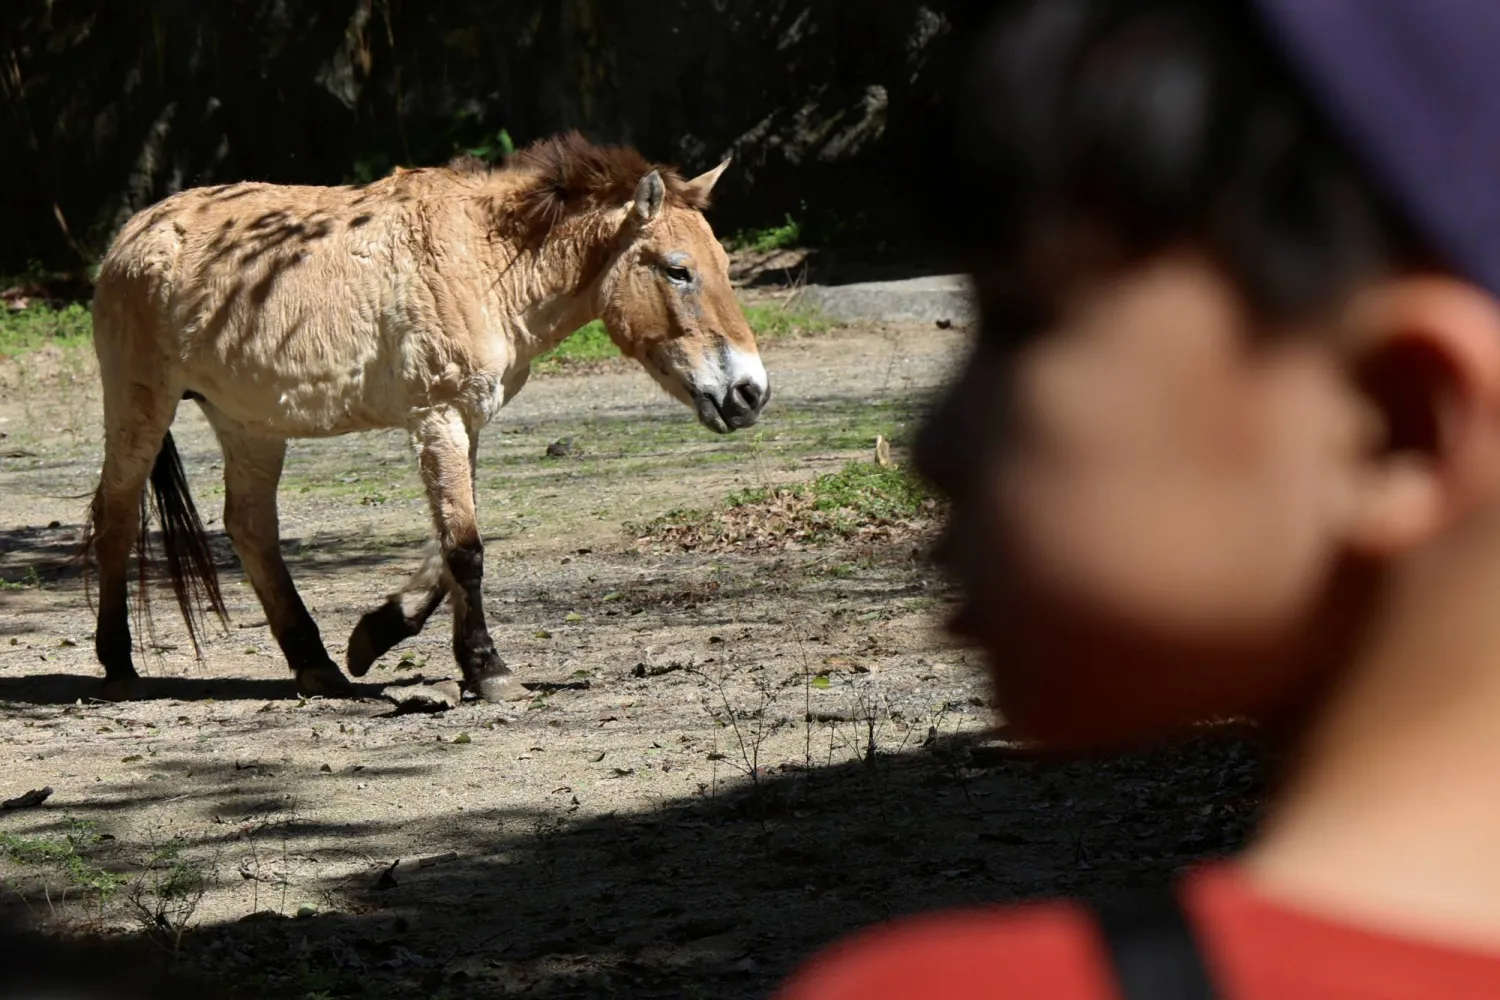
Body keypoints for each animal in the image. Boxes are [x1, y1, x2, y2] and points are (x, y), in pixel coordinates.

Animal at [83, 131, 770, 703]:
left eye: (725, 267)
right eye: (678, 270)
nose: (750, 394)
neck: (485, 260)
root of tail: (134, 233)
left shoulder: (468, 422)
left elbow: (451, 543)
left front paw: (377, 635)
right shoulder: (437, 417)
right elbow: (465, 550)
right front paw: (489, 670)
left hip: (249, 424)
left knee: (250, 529)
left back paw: (317, 666)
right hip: (141, 403)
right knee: (115, 517)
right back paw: (119, 665)